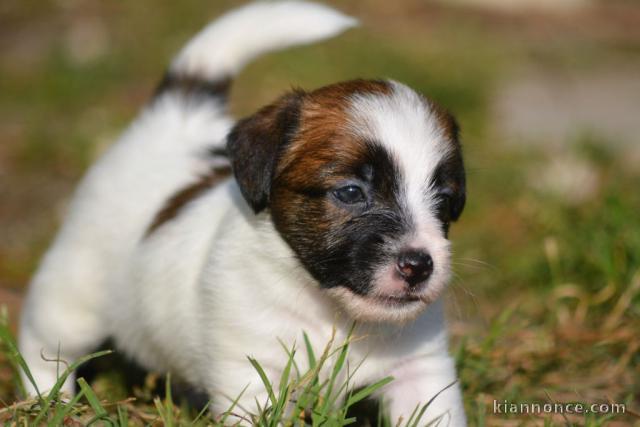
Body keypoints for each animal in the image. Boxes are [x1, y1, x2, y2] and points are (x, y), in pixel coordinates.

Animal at [20, 1, 468, 426]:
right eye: (351, 192)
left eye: (444, 200)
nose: (418, 266)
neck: (331, 311)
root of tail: (177, 118)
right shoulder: (252, 374)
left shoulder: (420, 373)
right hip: (73, 297)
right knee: (42, 340)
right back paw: (45, 401)